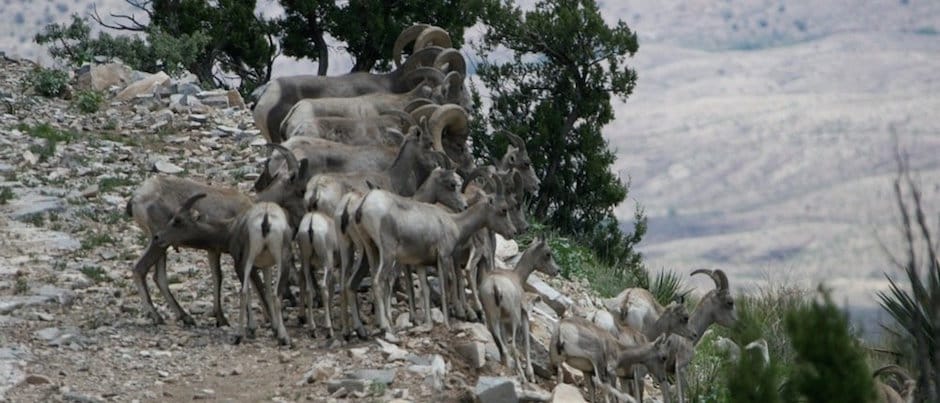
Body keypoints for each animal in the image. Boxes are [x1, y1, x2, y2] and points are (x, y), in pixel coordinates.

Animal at [482, 238, 560, 384]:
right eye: (548, 253)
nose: (557, 270)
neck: (517, 276)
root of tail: (495, 286)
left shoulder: (502, 320)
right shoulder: (523, 315)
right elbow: (526, 344)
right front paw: (531, 375)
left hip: (493, 316)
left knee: (499, 340)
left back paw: (507, 364)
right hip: (514, 318)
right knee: (513, 346)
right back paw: (523, 377)